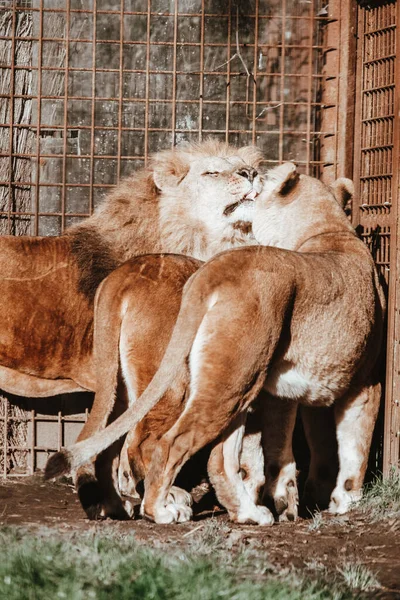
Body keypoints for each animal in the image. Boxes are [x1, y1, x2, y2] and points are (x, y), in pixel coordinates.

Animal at [45, 164, 386, 524]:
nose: (252, 172)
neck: (327, 230)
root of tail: (120, 276)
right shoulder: (365, 379)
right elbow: (355, 445)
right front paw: (346, 500)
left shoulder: (288, 395)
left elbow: (290, 449)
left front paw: (290, 498)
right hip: (205, 383)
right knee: (160, 444)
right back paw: (164, 508)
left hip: (186, 384)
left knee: (131, 447)